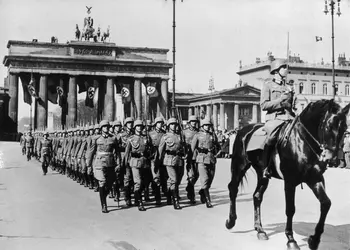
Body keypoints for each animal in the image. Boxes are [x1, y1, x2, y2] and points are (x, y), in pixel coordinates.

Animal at [226, 99, 348, 250]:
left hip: (262, 174)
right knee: (233, 188)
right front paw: (291, 239)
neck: (302, 142)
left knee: (257, 196)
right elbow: (290, 209)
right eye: (329, 126)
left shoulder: (315, 178)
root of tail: (244, 129)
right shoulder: (290, 181)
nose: (332, 160)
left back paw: (260, 230)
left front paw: (314, 240)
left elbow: (326, 203)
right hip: (239, 165)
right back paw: (231, 221)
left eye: (345, 128)